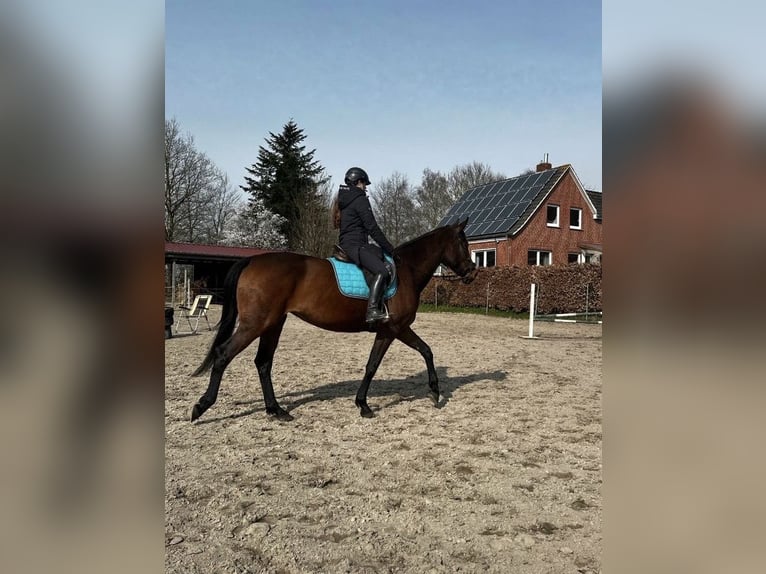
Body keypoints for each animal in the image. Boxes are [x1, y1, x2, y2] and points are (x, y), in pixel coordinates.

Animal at [190, 218, 477, 421]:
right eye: (463, 243)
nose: (473, 273)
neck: (406, 269)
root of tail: (251, 261)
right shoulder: (395, 328)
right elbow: (391, 360)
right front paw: (433, 391)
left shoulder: (391, 330)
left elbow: (404, 356)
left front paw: (364, 402)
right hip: (255, 324)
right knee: (224, 354)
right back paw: (202, 406)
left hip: (273, 324)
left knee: (263, 362)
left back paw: (276, 410)